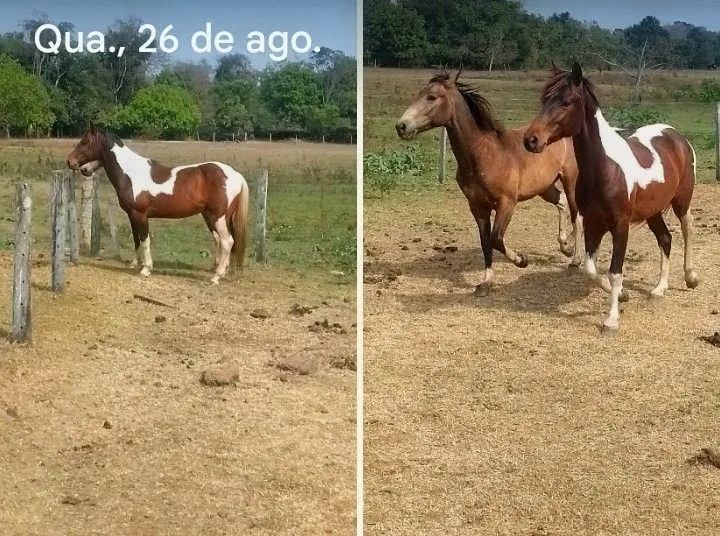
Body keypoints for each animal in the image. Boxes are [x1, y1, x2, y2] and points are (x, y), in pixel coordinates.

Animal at [67, 127, 249, 284]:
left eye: (85, 141)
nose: (71, 162)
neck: (131, 173)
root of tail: (236, 175)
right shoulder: (132, 216)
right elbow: (136, 240)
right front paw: (135, 263)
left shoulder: (140, 215)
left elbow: (145, 240)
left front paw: (146, 269)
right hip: (214, 216)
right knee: (223, 241)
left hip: (218, 217)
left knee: (227, 241)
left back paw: (216, 277)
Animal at [395, 71, 583, 293]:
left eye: (432, 97)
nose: (401, 126)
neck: (484, 154)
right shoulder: (477, 206)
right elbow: (486, 242)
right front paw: (486, 282)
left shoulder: (507, 203)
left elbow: (496, 238)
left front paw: (522, 260)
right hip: (544, 187)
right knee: (561, 203)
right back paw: (565, 246)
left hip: (570, 181)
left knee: (577, 215)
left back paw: (575, 259)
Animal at [523, 63, 699, 333]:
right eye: (544, 100)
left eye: (566, 102)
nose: (531, 140)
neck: (604, 168)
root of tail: (677, 136)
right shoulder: (593, 224)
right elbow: (591, 270)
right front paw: (624, 294)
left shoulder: (620, 226)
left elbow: (615, 272)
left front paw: (611, 319)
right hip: (653, 211)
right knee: (665, 239)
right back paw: (659, 288)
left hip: (681, 202)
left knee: (687, 230)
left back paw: (690, 277)